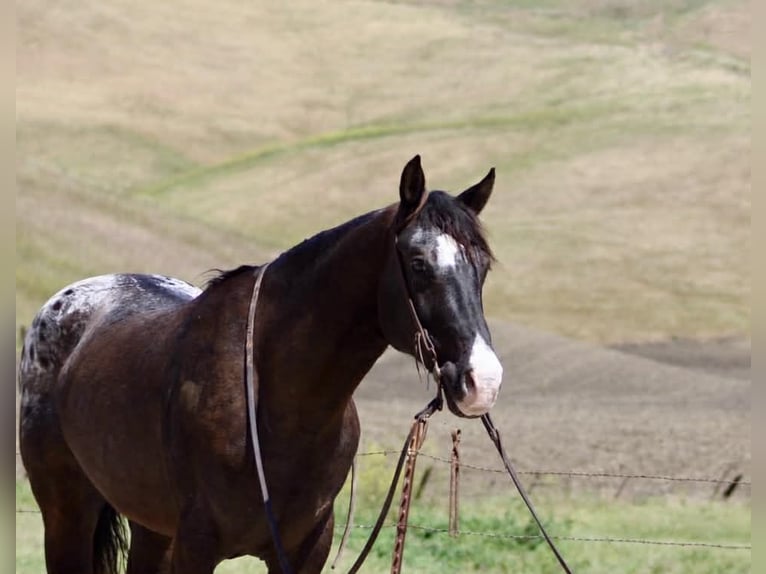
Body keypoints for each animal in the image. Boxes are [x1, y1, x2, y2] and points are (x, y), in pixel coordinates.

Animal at [18, 155, 503, 574]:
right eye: (419, 263)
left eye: (482, 267)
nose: (484, 381)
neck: (277, 405)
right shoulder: (196, 546)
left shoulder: (306, 550)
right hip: (66, 515)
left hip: (150, 526)